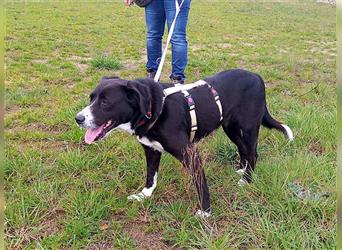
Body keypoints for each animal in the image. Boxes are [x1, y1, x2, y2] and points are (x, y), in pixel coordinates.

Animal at [75, 68, 294, 217]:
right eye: (91, 98)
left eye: (105, 102)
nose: (78, 118)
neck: (155, 108)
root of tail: (257, 76)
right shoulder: (151, 149)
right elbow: (151, 176)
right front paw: (145, 195)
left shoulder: (190, 153)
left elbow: (201, 184)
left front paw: (205, 212)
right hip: (230, 127)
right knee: (243, 149)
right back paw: (242, 169)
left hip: (248, 128)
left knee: (253, 152)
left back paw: (246, 180)